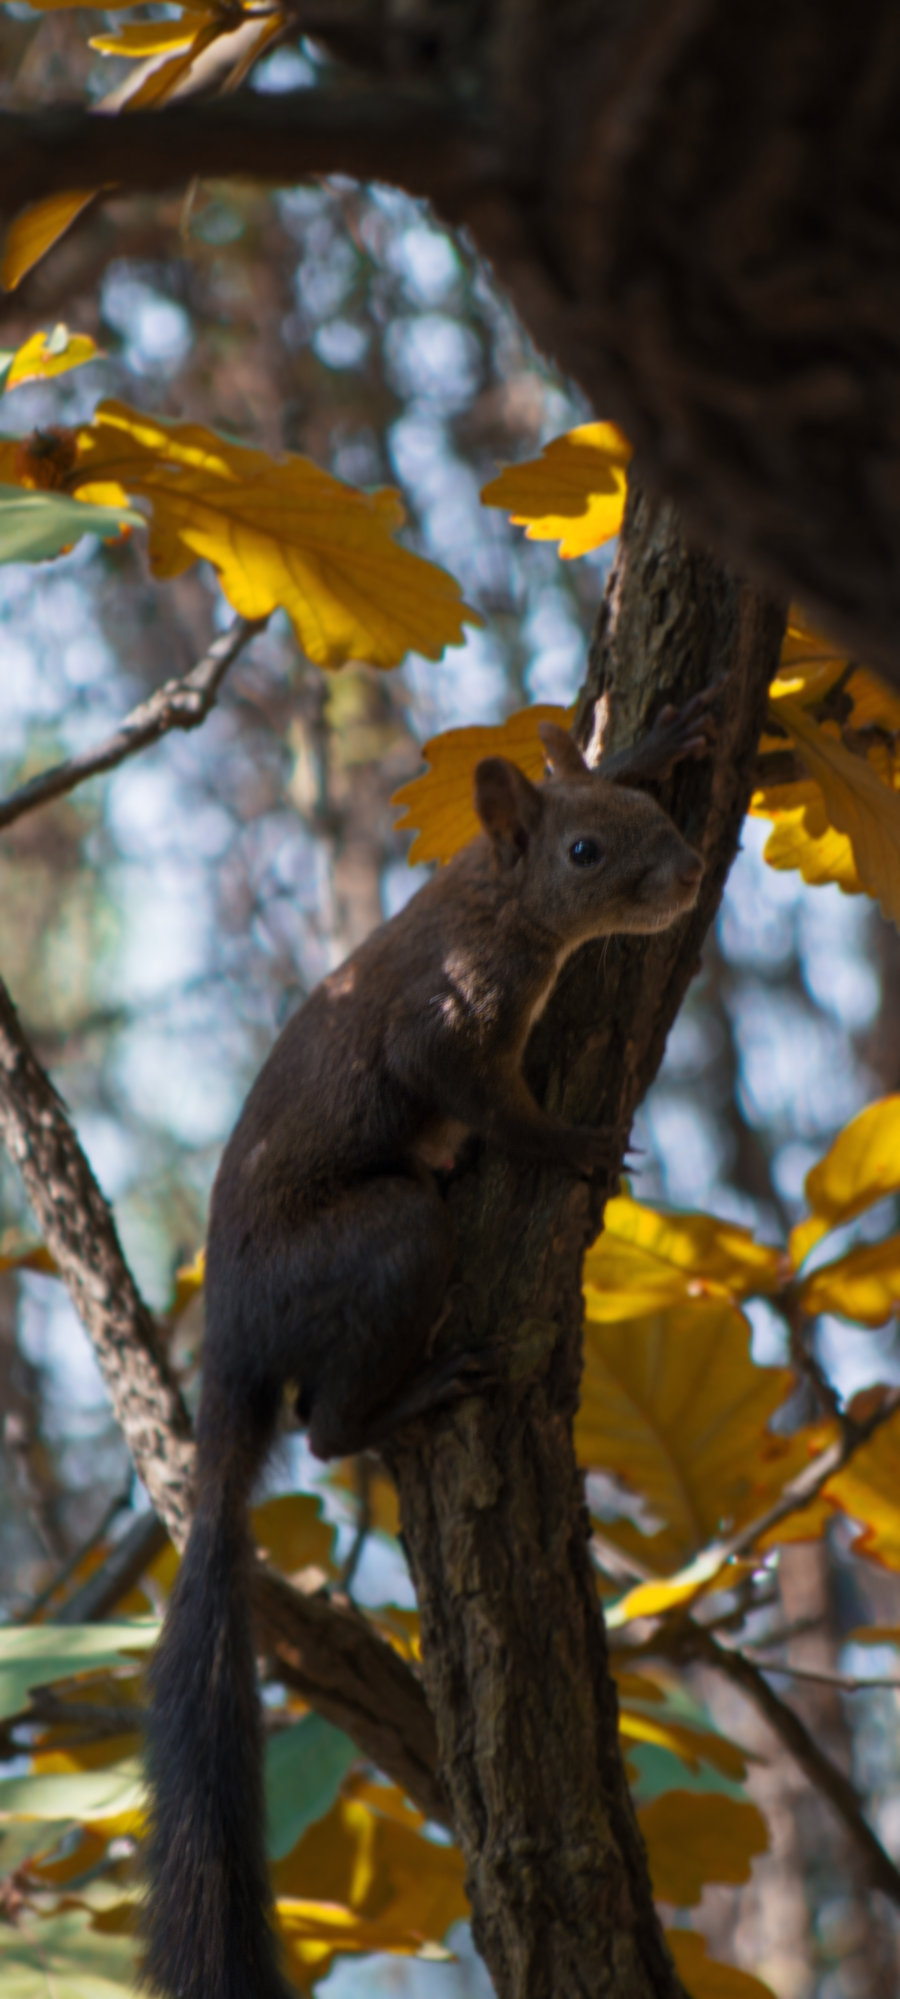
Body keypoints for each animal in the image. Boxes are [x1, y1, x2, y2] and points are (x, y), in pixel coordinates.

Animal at [144, 695, 712, 1999]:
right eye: (584, 855)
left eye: (638, 813)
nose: (687, 871)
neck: (492, 901)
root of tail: (231, 1345)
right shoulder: (444, 1024)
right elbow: (482, 1098)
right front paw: (568, 1146)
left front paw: (650, 734)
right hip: (381, 1244)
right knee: (323, 1426)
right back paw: (412, 1393)